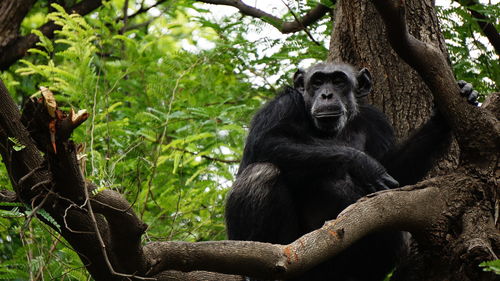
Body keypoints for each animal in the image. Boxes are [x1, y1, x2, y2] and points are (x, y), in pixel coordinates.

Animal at [225, 62, 478, 278]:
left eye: (338, 80)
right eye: (317, 81)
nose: (326, 94)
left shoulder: (377, 123)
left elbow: (396, 173)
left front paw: (442, 116)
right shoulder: (281, 105)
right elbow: (264, 142)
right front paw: (364, 165)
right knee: (262, 173)